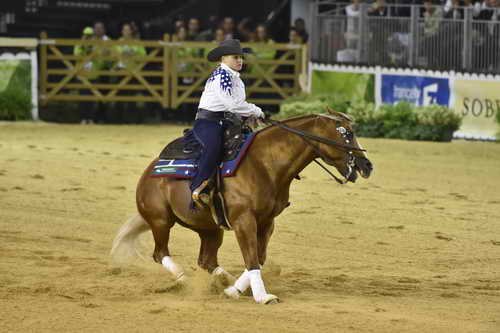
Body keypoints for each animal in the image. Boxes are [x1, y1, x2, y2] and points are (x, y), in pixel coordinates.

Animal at [111, 108, 374, 304]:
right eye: (347, 133)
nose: (367, 165)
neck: (264, 163)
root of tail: (149, 172)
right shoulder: (243, 220)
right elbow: (252, 258)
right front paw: (262, 296)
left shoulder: (267, 222)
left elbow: (259, 256)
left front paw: (234, 290)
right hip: (161, 220)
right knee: (160, 253)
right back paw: (185, 280)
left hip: (210, 229)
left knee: (207, 261)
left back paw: (222, 281)